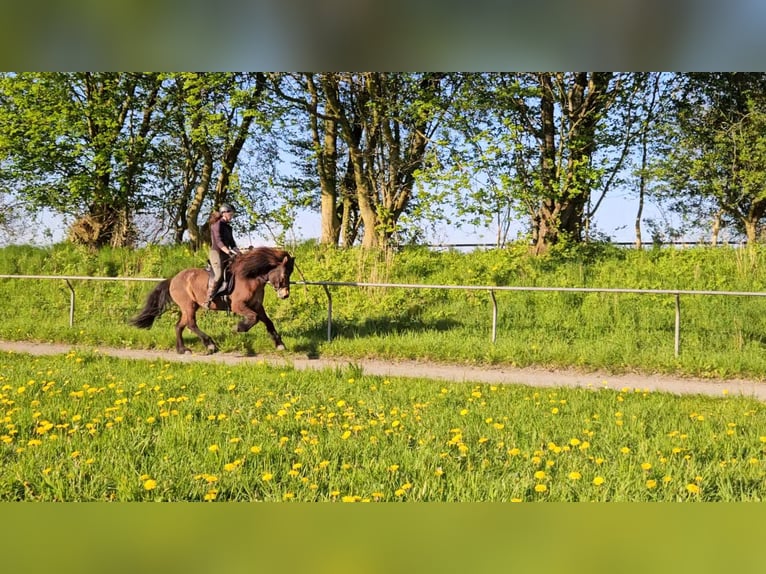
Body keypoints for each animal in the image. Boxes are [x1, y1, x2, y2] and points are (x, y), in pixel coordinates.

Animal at [130, 248, 296, 356]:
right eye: (285, 274)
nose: (285, 295)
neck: (250, 277)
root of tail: (173, 279)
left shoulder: (256, 305)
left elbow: (268, 322)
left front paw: (280, 345)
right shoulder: (238, 305)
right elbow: (253, 318)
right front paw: (239, 328)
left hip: (189, 307)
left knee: (179, 326)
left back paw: (182, 350)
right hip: (189, 306)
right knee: (191, 324)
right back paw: (210, 345)